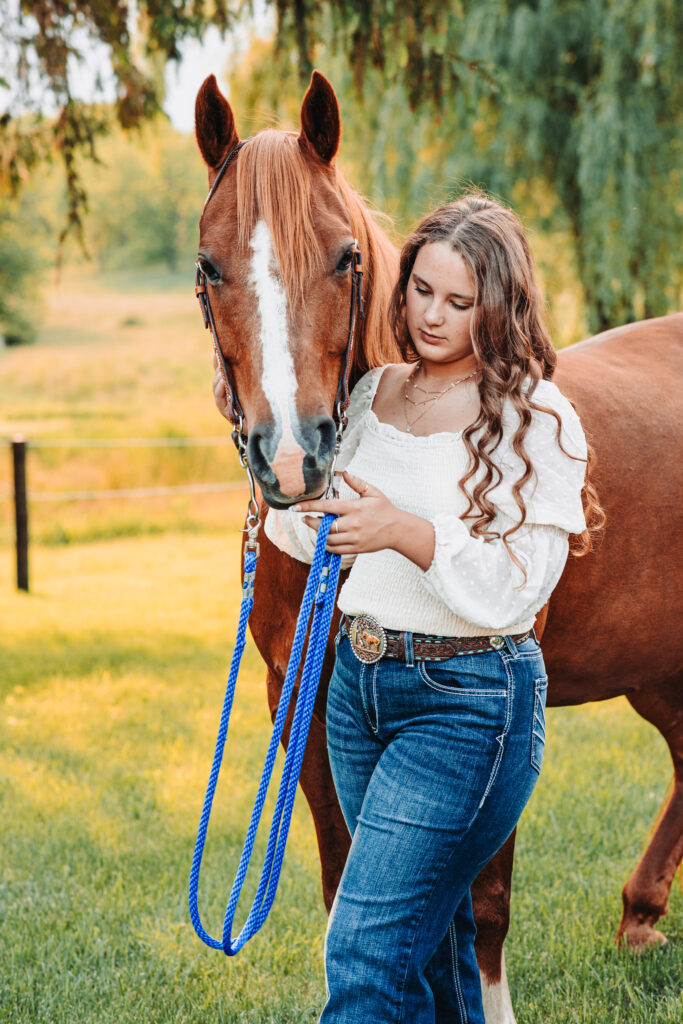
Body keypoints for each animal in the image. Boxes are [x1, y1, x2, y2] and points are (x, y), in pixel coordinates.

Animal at [193, 74, 683, 1024]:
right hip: (657, 670)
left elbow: (481, 906)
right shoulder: (300, 704)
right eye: (207, 266)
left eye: (345, 257)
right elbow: (343, 883)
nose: (291, 459)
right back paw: (639, 919)